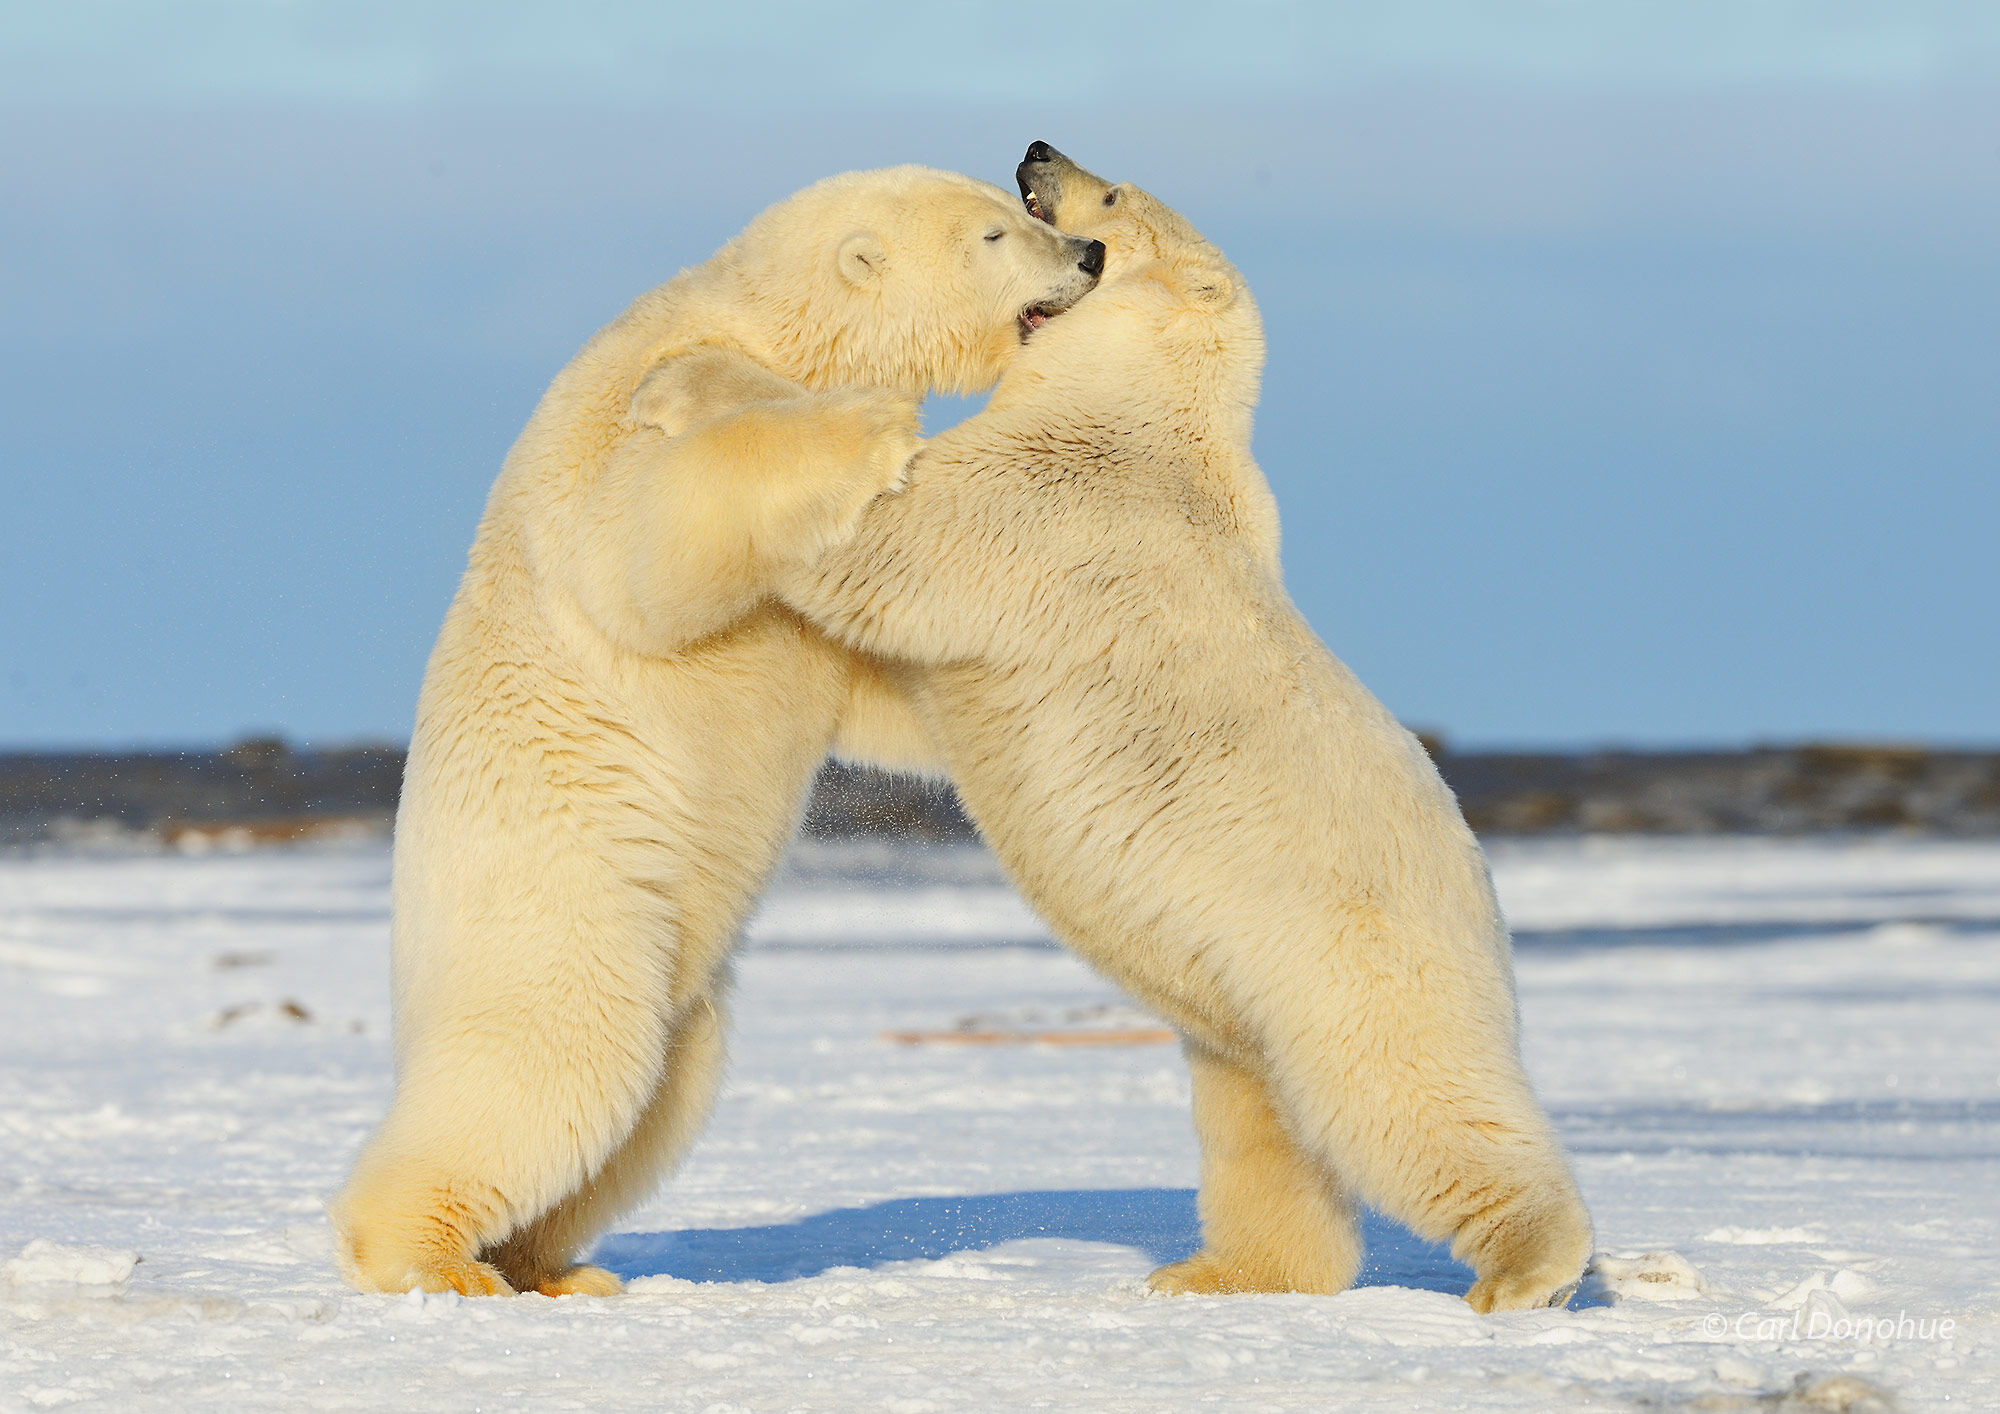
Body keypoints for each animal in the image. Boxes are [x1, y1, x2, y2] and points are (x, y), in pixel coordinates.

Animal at [332, 160, 1112, 1296]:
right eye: (995, 234)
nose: (1089, 255)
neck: (766, 323)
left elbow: (878, 671)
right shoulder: (621, 409)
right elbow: (642, 541)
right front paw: (875, 425)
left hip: (677, 989)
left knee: (658, 1099)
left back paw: (553, 1267)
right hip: (571, 912)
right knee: (553, 1067)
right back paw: (433, 1257)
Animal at [776, 147, 1592, 1320]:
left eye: (1111, 194)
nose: (1036, 150)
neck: (1156, 406)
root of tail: (1485, 903)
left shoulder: (1056, 497)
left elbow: (888, 542)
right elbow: (908, 695)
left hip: (1354, 959)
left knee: (1410, 1099)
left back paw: (1526, 1272)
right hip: (1247, 1008)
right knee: (1259, 1124)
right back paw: (1219, 1272)